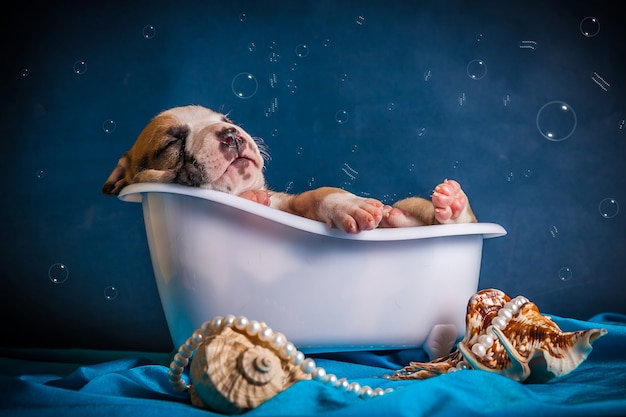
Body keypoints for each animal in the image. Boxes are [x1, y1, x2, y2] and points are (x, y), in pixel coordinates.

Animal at [102, 104, 472, 232]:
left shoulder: (291, 203)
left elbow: (320, 194)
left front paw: (349, 205)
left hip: (416, 204)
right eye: (172, 142)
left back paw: (452, 204)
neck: (244, 193)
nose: (230, 133)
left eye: (226, 118)